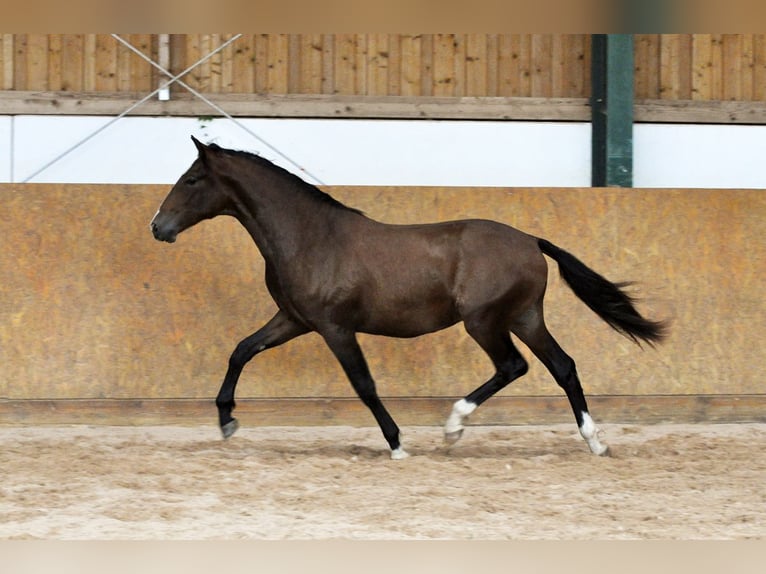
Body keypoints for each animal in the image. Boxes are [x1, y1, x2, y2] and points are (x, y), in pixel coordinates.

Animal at [152, 137, 664, 462]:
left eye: (192, 179)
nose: (159, 227)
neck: (310, 237)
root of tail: (530, 241)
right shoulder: (294, 319)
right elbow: (241, 350)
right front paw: (226, 421)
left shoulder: (335, 328)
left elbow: (364, 385)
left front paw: (398, 445)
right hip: (524, 317)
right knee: (563, 367)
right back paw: (595, 443)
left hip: (484, 321)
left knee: (513, 366)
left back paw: (454, 427)